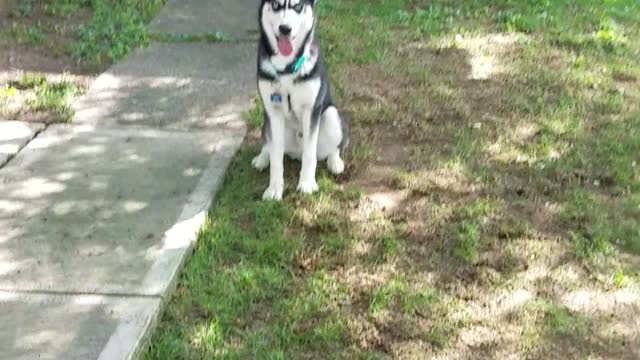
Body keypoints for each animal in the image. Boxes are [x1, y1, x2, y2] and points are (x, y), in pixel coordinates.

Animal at [251, 0, 350, 201]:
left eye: (297, 7)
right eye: (275, 5)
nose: (285, 29)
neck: (286, 69)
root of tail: (295, 152)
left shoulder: (312, 110)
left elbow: (310, 155)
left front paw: (306, 184)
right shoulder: (273, 111)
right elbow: (275, 157)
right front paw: (274, 188)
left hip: (330, 115)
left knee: (334, 146)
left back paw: (335, 162)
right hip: (266, 122)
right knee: (269, 146)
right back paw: (262, 158)